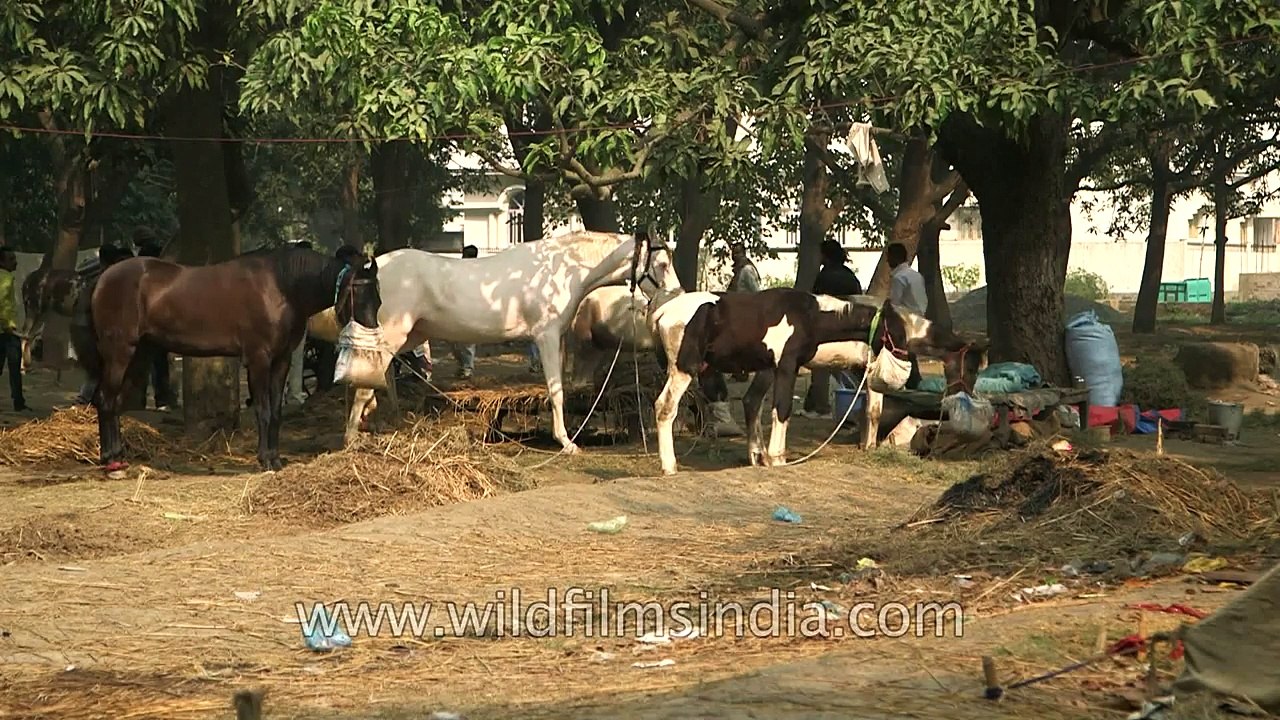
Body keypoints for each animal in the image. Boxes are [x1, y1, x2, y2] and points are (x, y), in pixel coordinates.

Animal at [69, 245, 384, 472]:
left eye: (377, 298)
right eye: (359, 295)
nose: (372, 338)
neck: (281, 287)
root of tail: (102, 279)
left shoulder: (281, 361)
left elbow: (276, 412)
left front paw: (275, 458)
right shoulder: (258, 360)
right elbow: (263, 410)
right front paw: (265, 460)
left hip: (138, 355)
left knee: (114, 403)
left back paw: (117, 455)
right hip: (120, 352)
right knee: (105, 400)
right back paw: (111, 460)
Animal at [304, 231, 680, 453]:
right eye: (661, 263)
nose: (676, 293)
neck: (560, 271)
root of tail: (370, 268)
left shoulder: (556, 339)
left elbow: (563, 387)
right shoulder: (545, 335)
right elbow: (556, 390)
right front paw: (567, 443)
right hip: (392, 333)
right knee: (364, 384)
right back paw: (352, 439)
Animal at [742, 321, 990, 452]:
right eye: (971, 368)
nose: (964, 394)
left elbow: (866, 409)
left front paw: (864, 443)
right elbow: (873, 411)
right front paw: (870, 446)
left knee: (752, 401)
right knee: (753, 401)